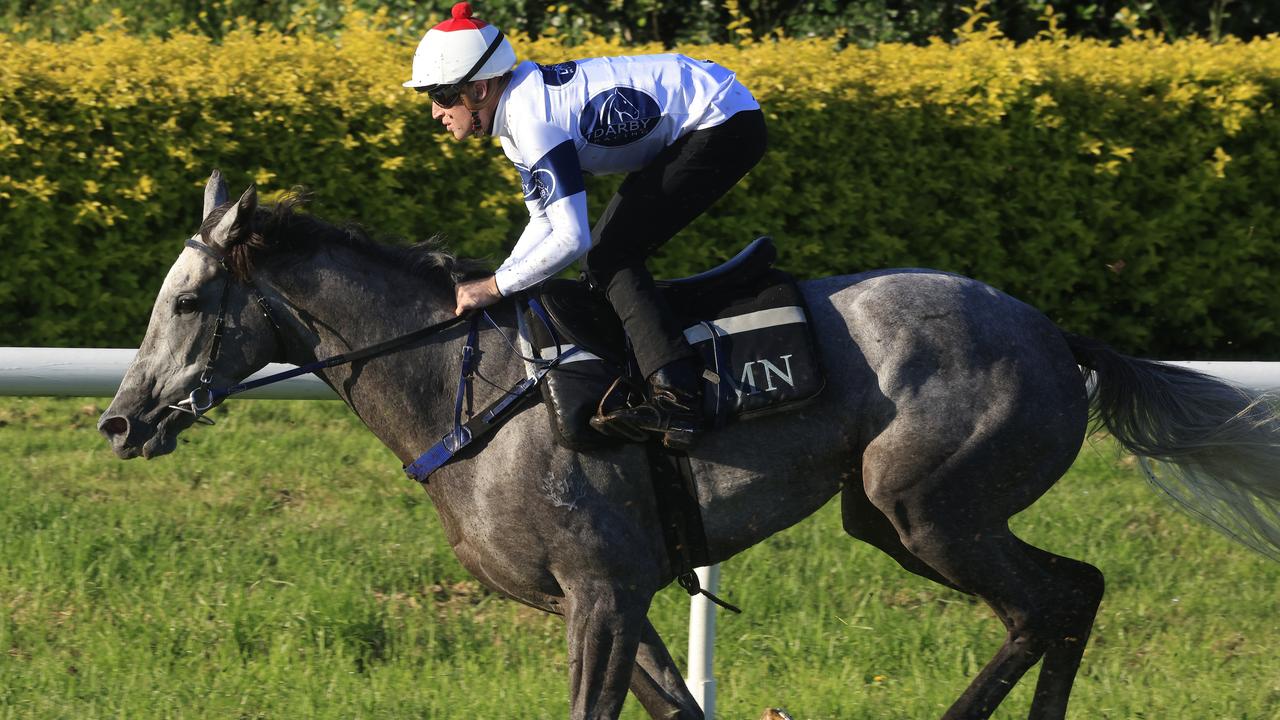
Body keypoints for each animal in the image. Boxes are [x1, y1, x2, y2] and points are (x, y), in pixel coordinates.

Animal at [99, 169, 1280, 717]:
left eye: (191, 300)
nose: (120, 419)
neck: (465, 396)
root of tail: (1050, 330)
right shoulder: (609, 597)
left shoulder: (602, 589)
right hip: (897, 516)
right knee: (1070, 594)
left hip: (932, 506)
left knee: (1048, 604)